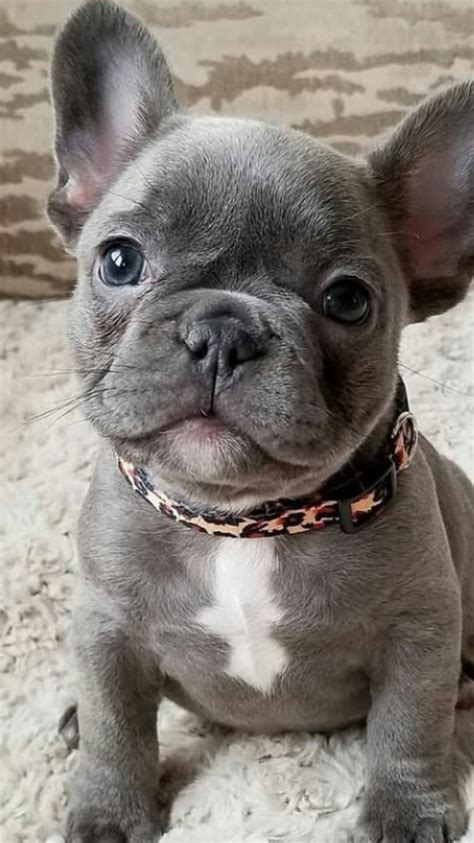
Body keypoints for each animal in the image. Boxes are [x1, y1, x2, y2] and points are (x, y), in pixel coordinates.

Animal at [48, 1, 474, 843]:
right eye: (119, 260)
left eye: (348, 300)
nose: (221, 331)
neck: (241, 523)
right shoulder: (105, 625)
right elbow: (117, 722)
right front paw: (108, 808)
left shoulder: (422, 628)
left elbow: (411, 722)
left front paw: (408, 811)